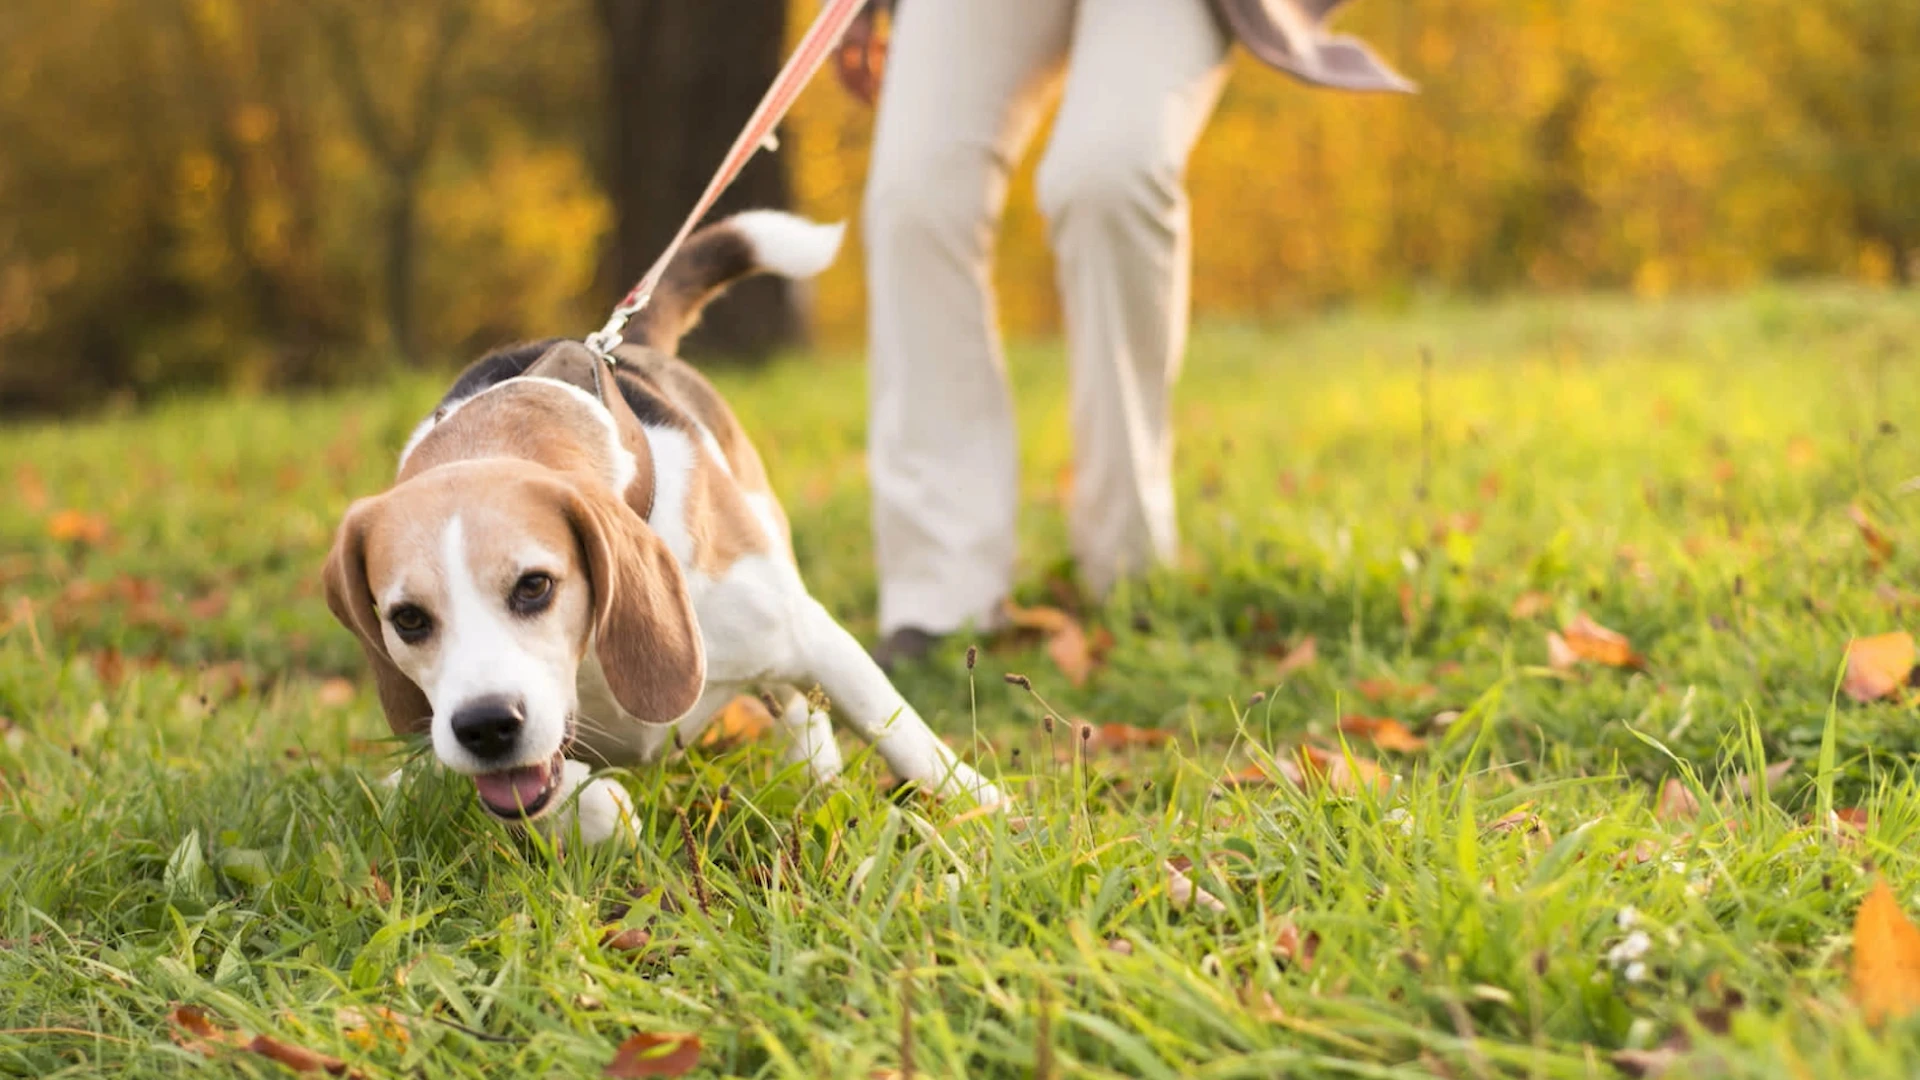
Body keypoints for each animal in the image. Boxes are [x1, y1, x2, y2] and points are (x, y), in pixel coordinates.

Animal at [320, 205, 998, 837]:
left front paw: (986, 809)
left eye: (535, 586)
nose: (486, 726)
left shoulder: (806, 632)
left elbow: (899, 730)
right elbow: (565, 799)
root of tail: (628, 340)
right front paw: (599, 808)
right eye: (407, 620)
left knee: (801, 706)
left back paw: (820, 774)